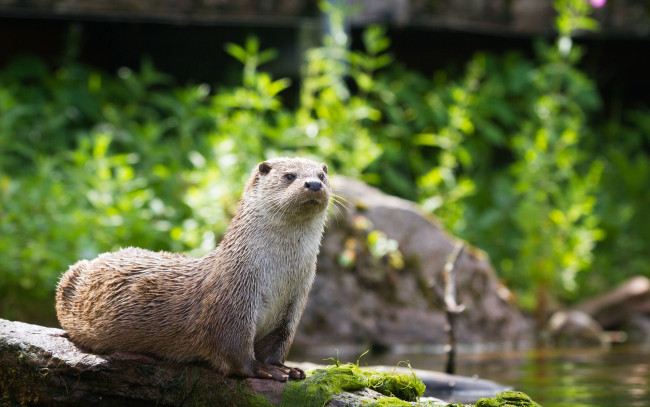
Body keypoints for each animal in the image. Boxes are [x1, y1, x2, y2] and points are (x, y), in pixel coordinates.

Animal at [55, 157, 330, 382]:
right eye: (289, 176)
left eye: (322, 175)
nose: (314, 184)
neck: (277, 278)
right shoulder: (232, 299)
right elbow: (234, 350)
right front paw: (263, 369)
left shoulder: (293, 306)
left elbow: (278, 344)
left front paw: (287, 368)